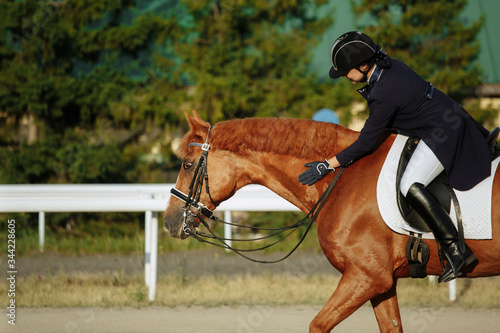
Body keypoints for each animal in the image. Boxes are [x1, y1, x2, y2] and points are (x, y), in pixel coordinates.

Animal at [164, 110, 500, 330]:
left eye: (187, 164)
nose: (169, 221)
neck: (343, 177)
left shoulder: (366, 277)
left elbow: (318, 325)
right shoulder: (382, 281)